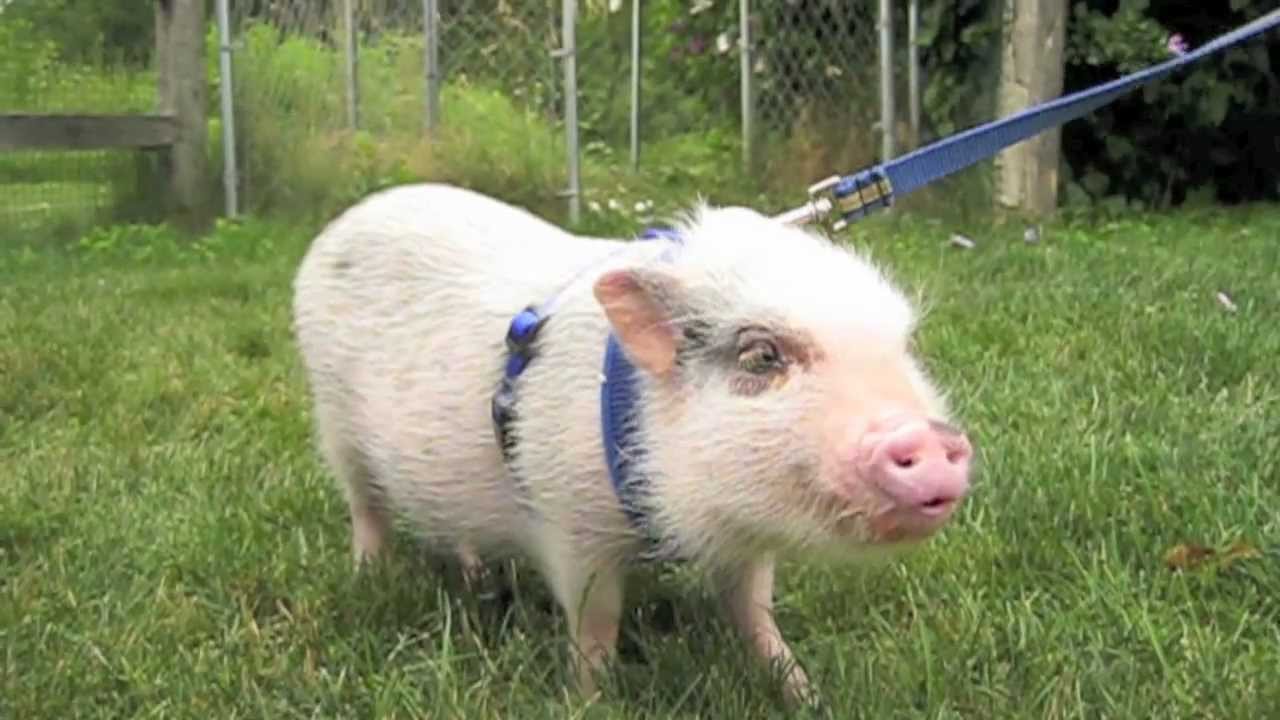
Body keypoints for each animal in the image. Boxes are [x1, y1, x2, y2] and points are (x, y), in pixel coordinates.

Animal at [290, 182, 974, 707]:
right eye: (761, 355)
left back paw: (476, 572)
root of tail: (340, 225)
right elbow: (596, 621)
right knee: (366, 506)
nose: (932, 438)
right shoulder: (570, 523)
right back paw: (368, 576)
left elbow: (755, 611)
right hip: (333, 417)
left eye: (903, 346)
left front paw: (806, 694)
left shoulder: (745, 542)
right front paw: (590, 700)